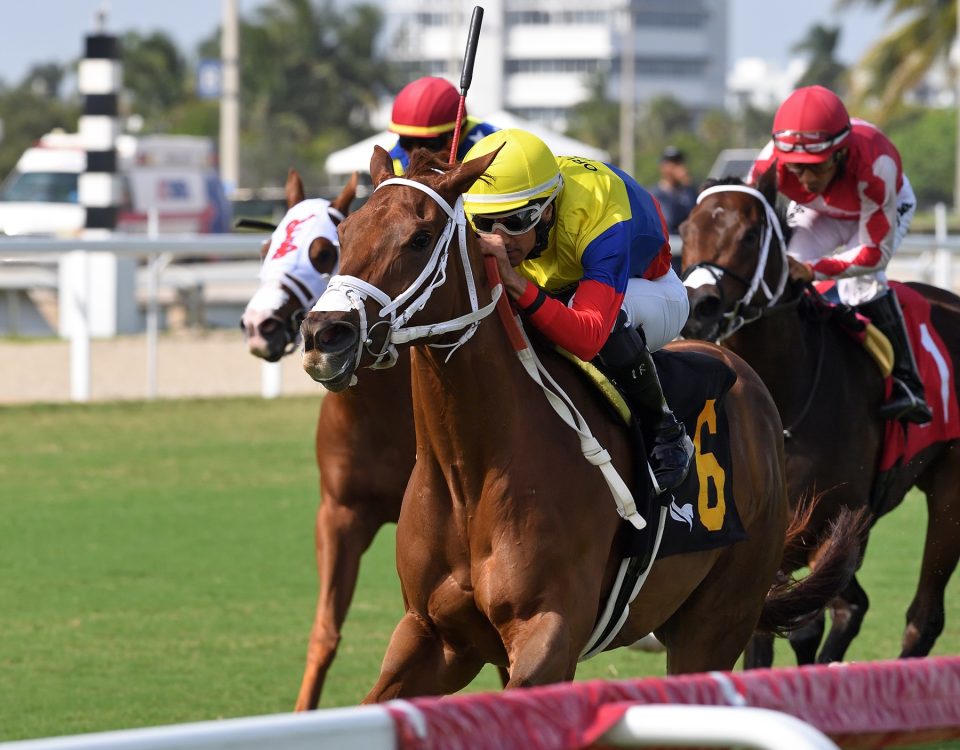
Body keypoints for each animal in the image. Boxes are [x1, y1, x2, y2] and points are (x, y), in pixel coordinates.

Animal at [298, 147, 856, 700]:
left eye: (419, 238)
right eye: (346, 234)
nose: (325, 335)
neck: (469, 475)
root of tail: (743, 372)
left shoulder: (549, 633)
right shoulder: (433, 636)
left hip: (718, 620)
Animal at [680, 173, 960, 668]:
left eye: (750, 235)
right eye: (686, 229)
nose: (699, 307)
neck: (787, 395)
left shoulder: (821, 522)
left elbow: (802, 624)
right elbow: (768, 630)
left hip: (950, 490)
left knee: (922, 617)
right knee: (853, 605)